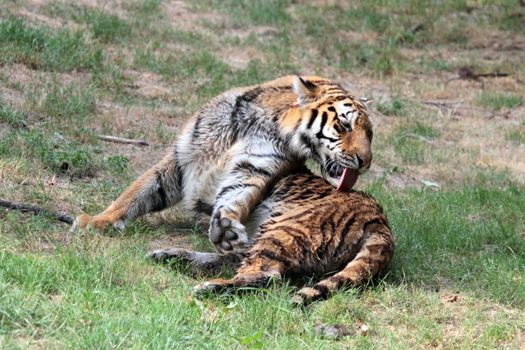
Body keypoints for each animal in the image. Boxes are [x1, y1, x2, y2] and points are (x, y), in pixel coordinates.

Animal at [75, 74, 374, 254]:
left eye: (369, 134)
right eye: (344, 125)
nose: (366, 161)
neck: (268, 123)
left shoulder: (254, 167)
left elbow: (235, 195)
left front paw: (225, 229)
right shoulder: (181, 158)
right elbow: (135, 193)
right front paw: (96, 221)